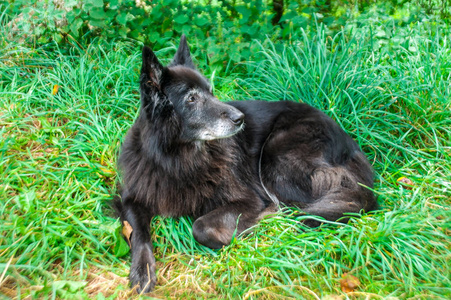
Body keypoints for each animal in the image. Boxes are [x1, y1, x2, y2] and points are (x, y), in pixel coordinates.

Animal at [114, 35, 378, 292]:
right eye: (191, 98)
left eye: (211, 91)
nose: (239, 119)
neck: (179, 158)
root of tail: (349, 144)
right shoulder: (132, 196)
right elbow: (137, 233)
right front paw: (142, 270)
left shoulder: (248, 199)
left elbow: (200, 226)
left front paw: (245, 230)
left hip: (277, 160)